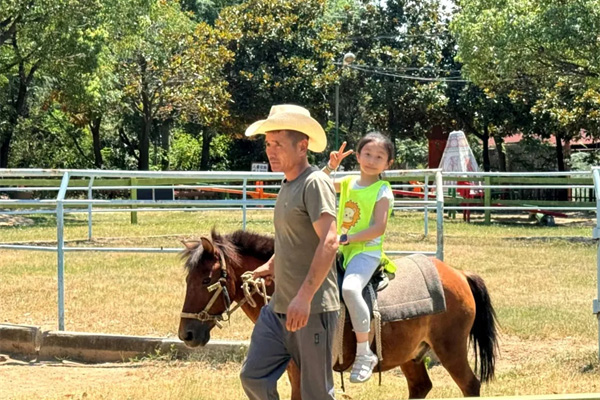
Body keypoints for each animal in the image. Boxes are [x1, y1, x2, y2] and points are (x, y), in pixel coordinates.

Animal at [180, 230, 500, 398]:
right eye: (188, 279)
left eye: (206, 280)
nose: (187, 334)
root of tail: (459, 274)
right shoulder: (292, 368)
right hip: (410, 355)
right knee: (421, 386)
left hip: (450, 349)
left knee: (470, 385)